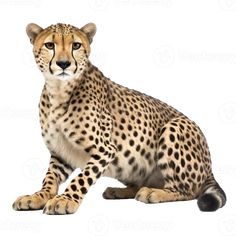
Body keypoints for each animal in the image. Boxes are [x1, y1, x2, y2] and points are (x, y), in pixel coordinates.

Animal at [12, 23, 227, 215]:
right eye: (50, 45)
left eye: (76, 45)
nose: (63, 64)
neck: (59, 90)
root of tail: (209, 167)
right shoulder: (61, 153)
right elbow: (49, 178)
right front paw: (38, 196)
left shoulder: (105, 149)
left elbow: (82, 177)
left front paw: (65, 200)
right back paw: (119, 191)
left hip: (174, 127)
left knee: (188, 190)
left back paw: (154, 193)